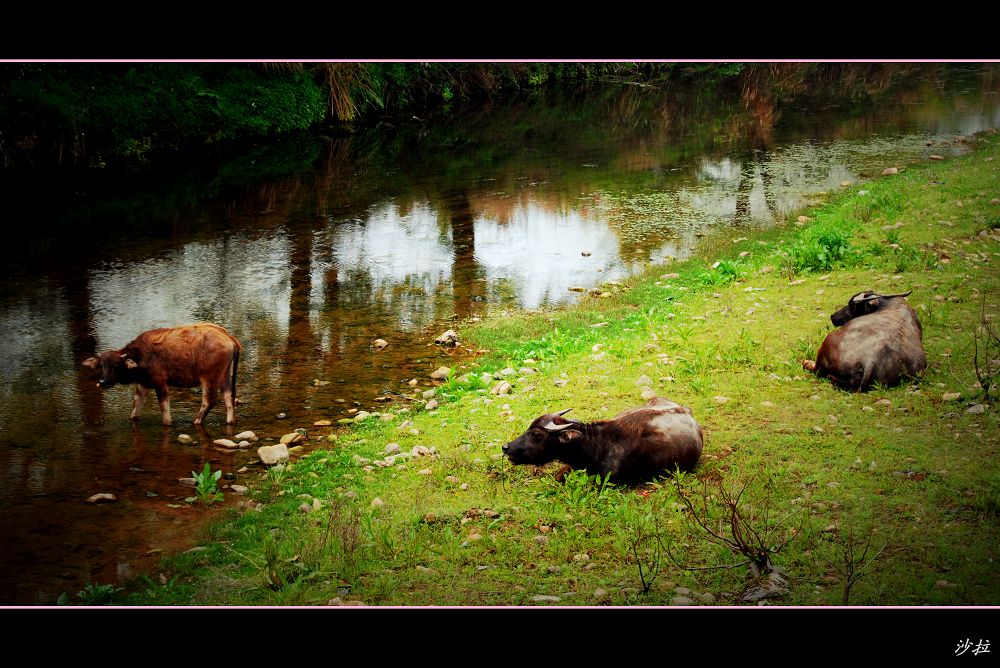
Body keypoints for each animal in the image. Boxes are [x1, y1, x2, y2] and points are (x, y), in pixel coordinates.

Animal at [82, 324, 242, 428]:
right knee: (229, 396)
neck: (141, 356)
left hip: (209, 377)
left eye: (115, 366)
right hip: (224, 375)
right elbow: (136, 404)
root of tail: (228, 338)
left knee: (210, 400)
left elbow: (164, 406)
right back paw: (230, 421)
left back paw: (196, 421)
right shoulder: (143, 383)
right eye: (101, 366)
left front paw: (168, 422)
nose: (103, 382)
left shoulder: (160, 382)